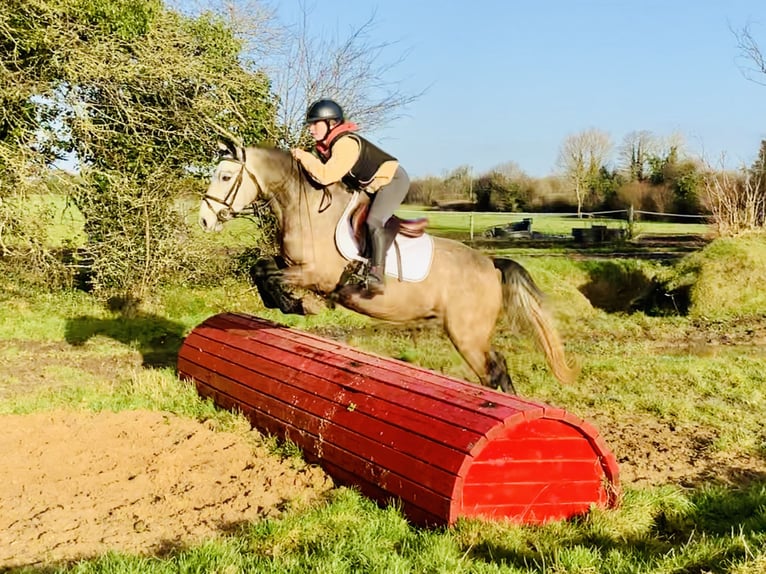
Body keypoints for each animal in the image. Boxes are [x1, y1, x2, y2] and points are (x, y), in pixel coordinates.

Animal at [198, 143, 576, 396]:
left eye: (226, 176)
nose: (204, 220)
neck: (306, 207)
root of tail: (490, 263)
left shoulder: (316, 275)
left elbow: (269, 275)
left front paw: (301, 305)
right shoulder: (292, 264)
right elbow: (260, 268)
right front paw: (286, 303)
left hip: (467, 334)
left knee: (494, 369)